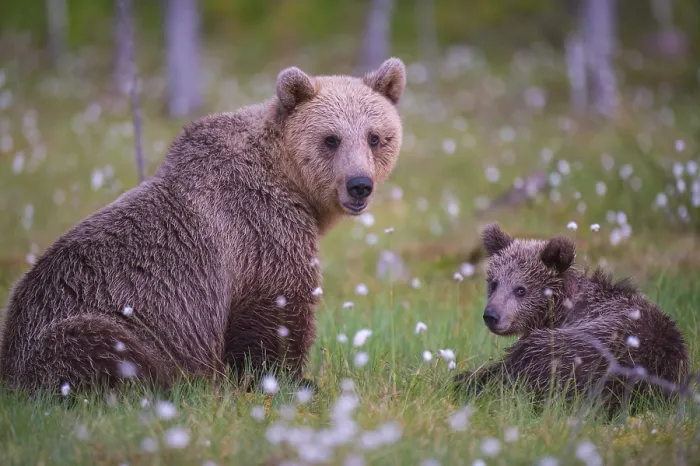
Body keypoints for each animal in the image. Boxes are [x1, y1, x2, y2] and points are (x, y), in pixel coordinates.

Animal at [0, 57, 407, 396]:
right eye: (331, 139)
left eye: (375, 136)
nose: (359, 185)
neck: (291, 182)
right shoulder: (259, 228)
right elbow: (278, 308)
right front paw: (292, 380)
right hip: (81, 324)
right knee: (103, 349)